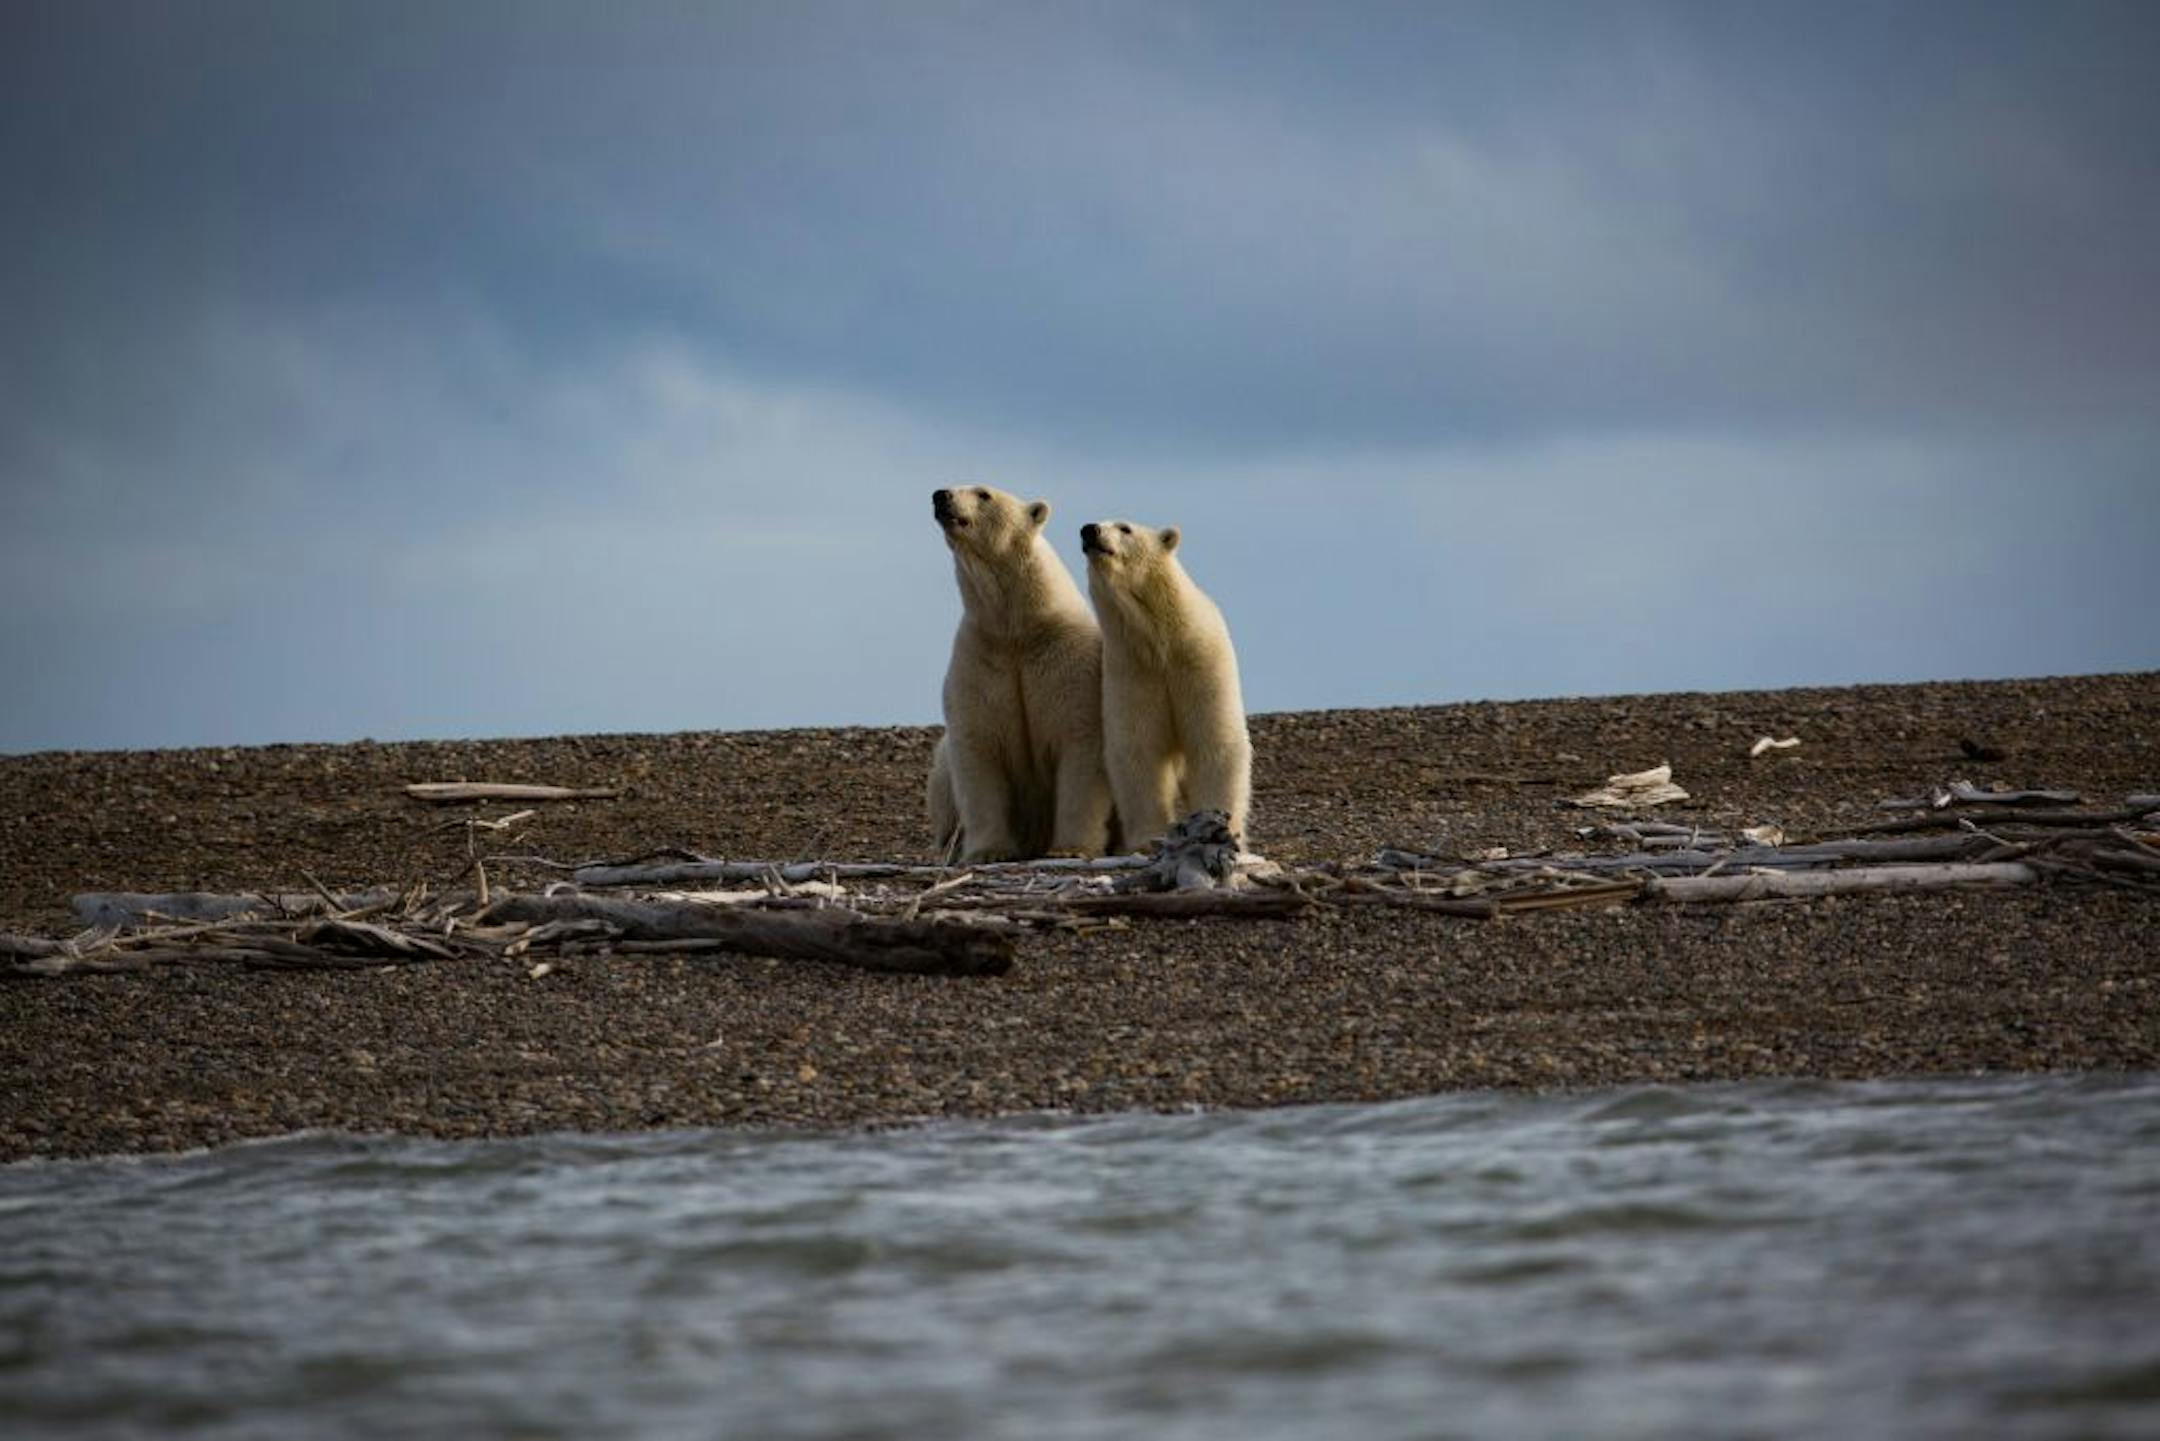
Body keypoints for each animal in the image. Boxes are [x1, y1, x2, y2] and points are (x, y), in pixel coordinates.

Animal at [927, 485, 1115, 862]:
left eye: (984, 493)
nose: (941, 495)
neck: (1018, 629)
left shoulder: (1069, 662)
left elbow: (1080, 743)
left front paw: (1070, 848)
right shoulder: (982, 659)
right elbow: (978, 747)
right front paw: (988, 852)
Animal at [1080, 518, 1252, 849]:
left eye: (1125, 527)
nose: (1089, 530)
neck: (1160, 642)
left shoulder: (1200, 663)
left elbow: (1215, 742)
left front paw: (1220, 829)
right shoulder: (1132, 671)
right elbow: (1138, 750)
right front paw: (1148, 838)